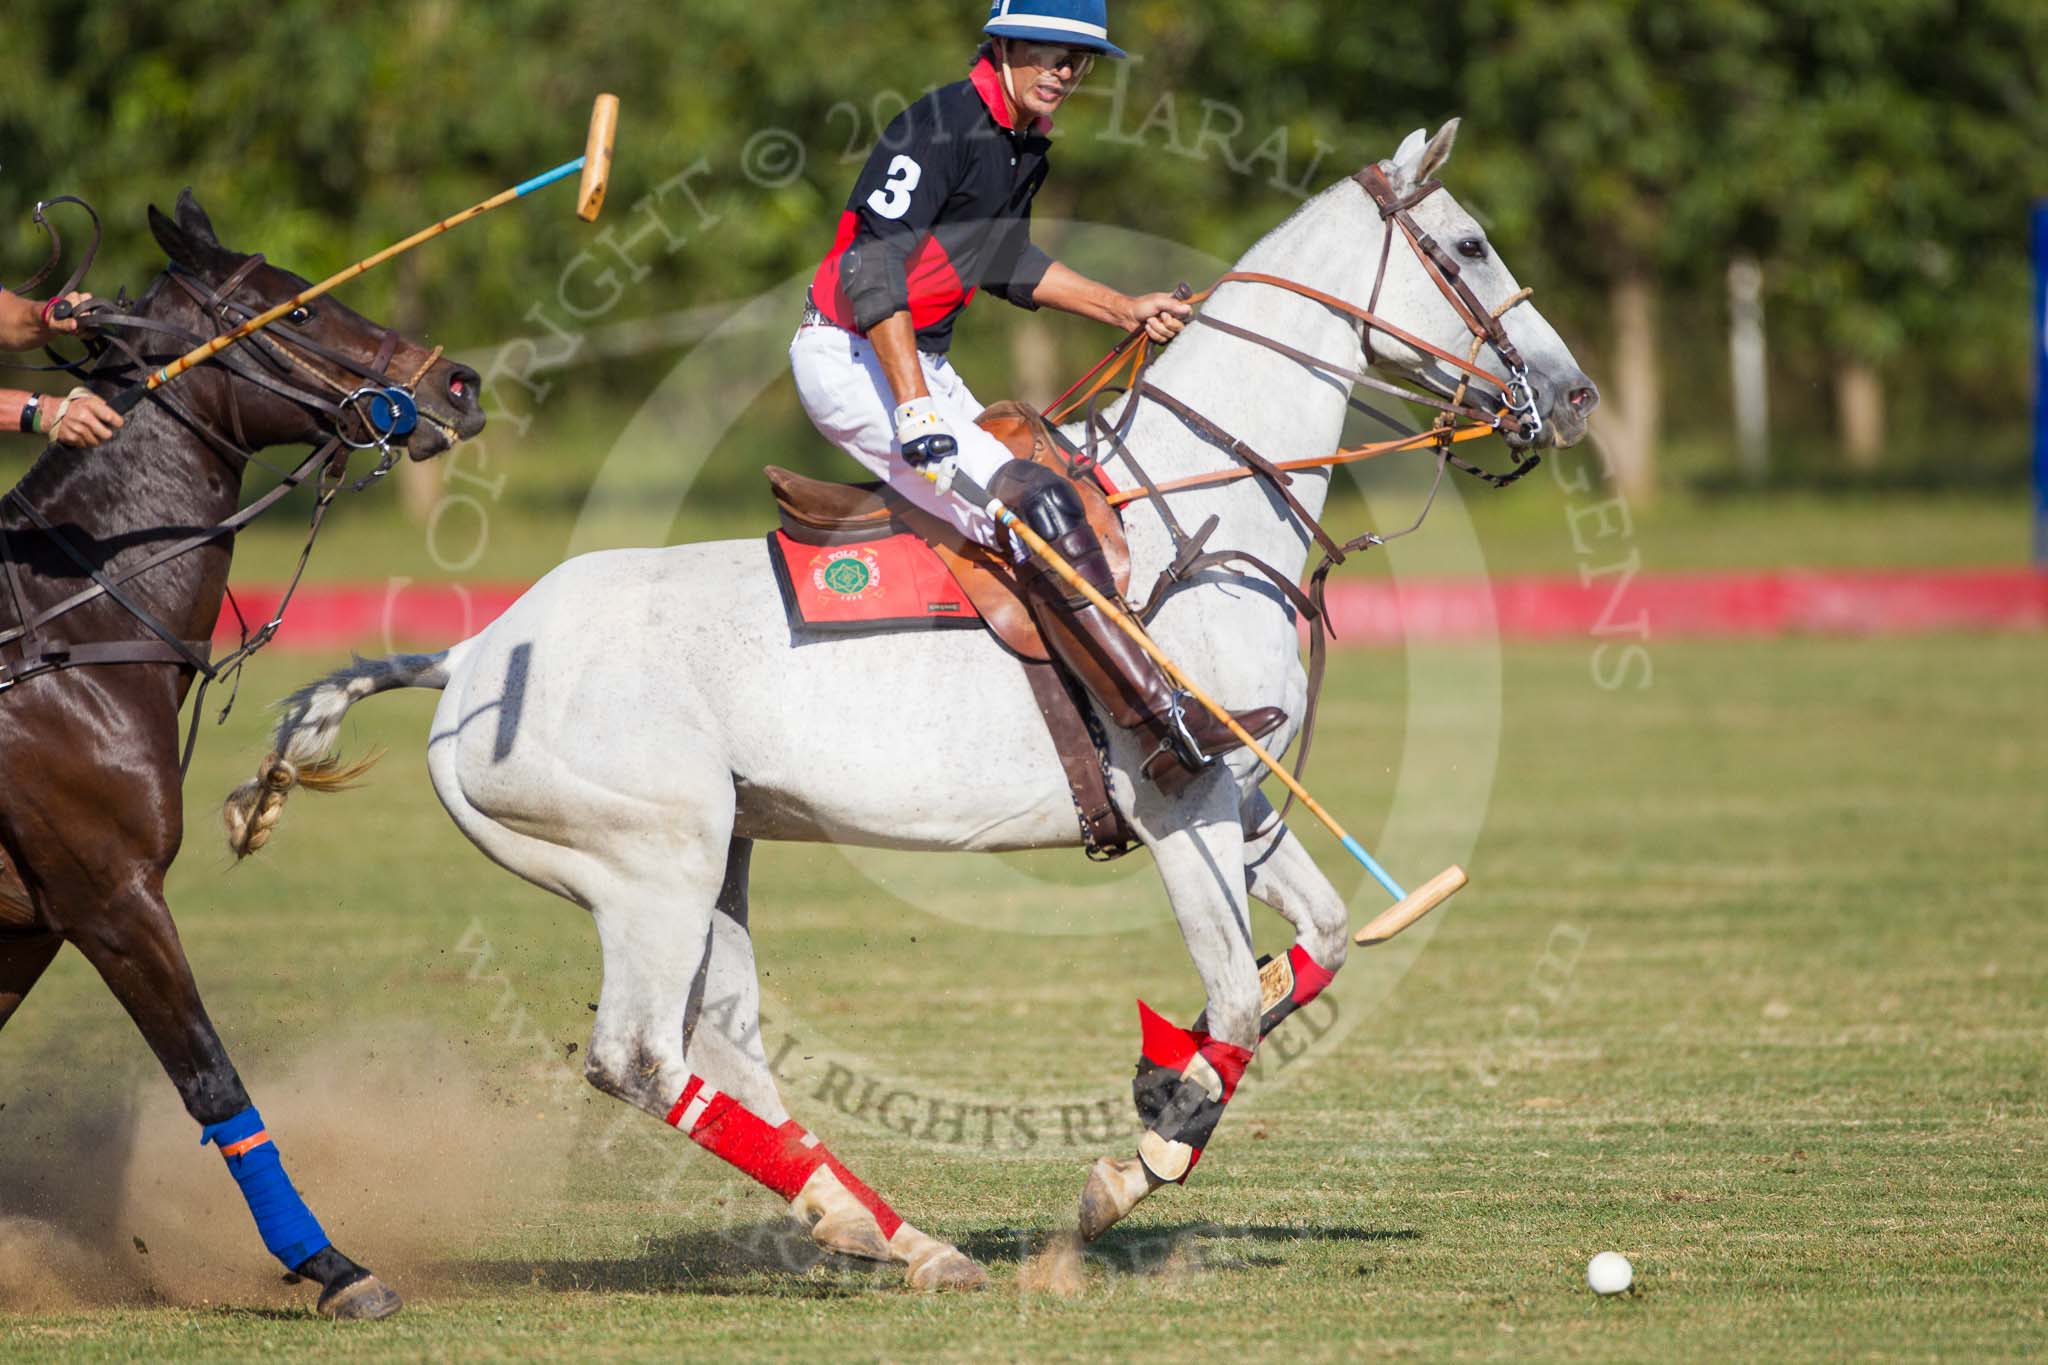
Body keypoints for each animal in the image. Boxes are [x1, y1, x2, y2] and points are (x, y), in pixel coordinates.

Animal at [0, 187, 483, 1317]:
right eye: (297, 310)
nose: (457, 382)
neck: (68, 629)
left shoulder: (28, 925)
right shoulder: (108, 894)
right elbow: (210, 1075)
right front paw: (335, 1266)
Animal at [228, 125, 1597, 1293]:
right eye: (1470, 246)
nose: (1575, 396)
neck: (1194, 504)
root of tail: (471, 658)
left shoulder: (1243, 794)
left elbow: (1317, 946)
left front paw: (1152, 1095)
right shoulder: (1180, 800)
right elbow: (1239, 1000)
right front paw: (1136, 1160)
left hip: (711, 858)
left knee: (726, 1045)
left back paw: (891, 1235)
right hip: (646, 861)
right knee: (639, 1056)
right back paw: (877, 1228)